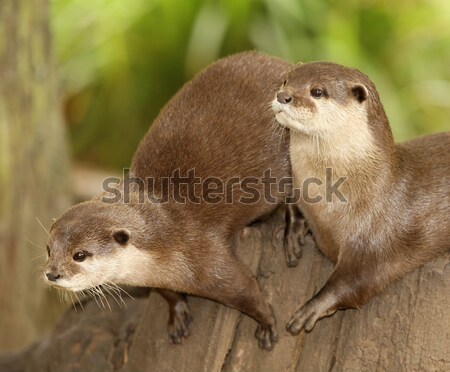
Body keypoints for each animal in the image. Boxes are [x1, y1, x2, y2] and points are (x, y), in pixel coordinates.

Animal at [44, 51, 306, 348]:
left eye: (80, 255)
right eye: (49, 249)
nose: (52, 273)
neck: (165, 241)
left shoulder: (204, 255)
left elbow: (246, 288)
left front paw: (267, 324)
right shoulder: (158, 278)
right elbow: (167, 293)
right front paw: (177, 315)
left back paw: (292, 233)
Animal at [270, 61, 450, 334]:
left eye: (317, 91)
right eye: (285, 80)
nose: (283, 96)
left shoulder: (373, 240)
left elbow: (356, 282)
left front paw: (311, 308)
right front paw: (293, 233)